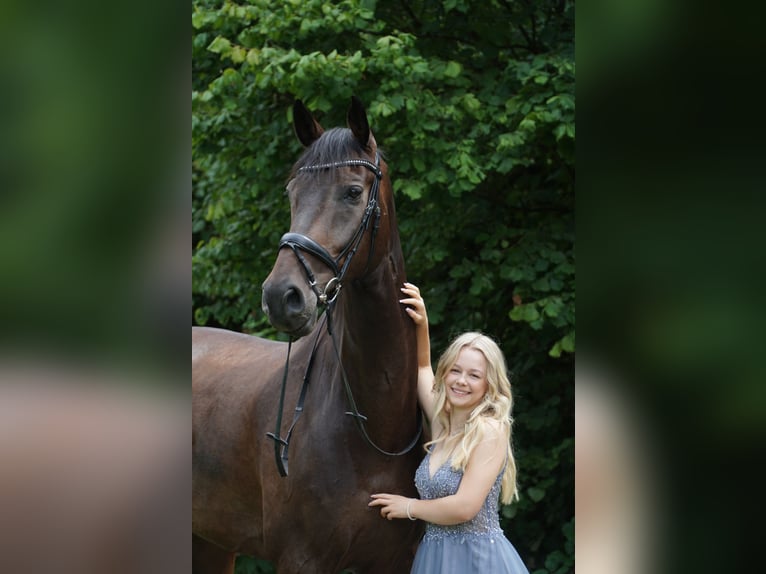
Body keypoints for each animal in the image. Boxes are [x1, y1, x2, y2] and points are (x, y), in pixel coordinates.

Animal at [190, 97, 426, 572]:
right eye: (292, 193)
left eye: (352, 192)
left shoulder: (396, 560)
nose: (282, 296)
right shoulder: (302, 559)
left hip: (211, 543)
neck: (376, 431)